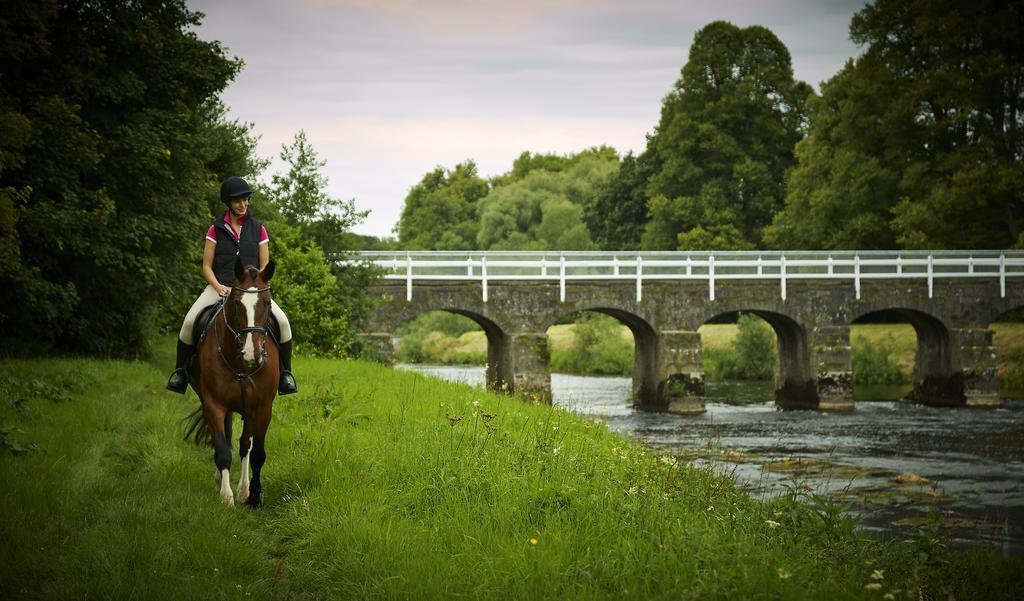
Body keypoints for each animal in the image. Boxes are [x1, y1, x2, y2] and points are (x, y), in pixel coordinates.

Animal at [185, 259, 278, 507]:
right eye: (237, 303)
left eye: (267, 303)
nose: (252, 354)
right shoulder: (214, 404)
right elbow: (223, 449)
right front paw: (226, 497)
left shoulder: (262, 407)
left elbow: (257, 453)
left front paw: (254, 497)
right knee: (226, 439)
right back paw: (223, 483)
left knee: (245, 444)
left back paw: (243, 490)